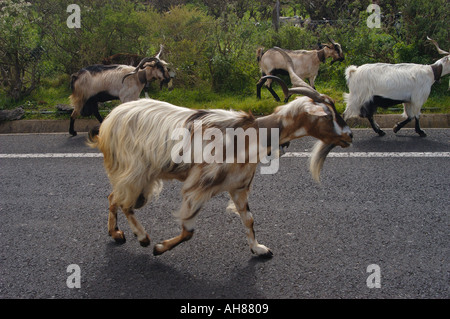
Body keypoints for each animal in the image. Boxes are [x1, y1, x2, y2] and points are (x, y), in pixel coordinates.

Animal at [88, 82, 352, 258]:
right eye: (328, 116)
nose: (349, 135)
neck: (251, 136)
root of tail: (110, 119)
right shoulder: (197, 187)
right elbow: (188, 231)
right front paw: (159, 247)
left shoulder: (239, 186)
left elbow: (249, 219)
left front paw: (258, 249)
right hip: (135, 170)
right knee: (125, 202)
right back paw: (142, 237)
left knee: (113, 197)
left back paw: (116, 233)